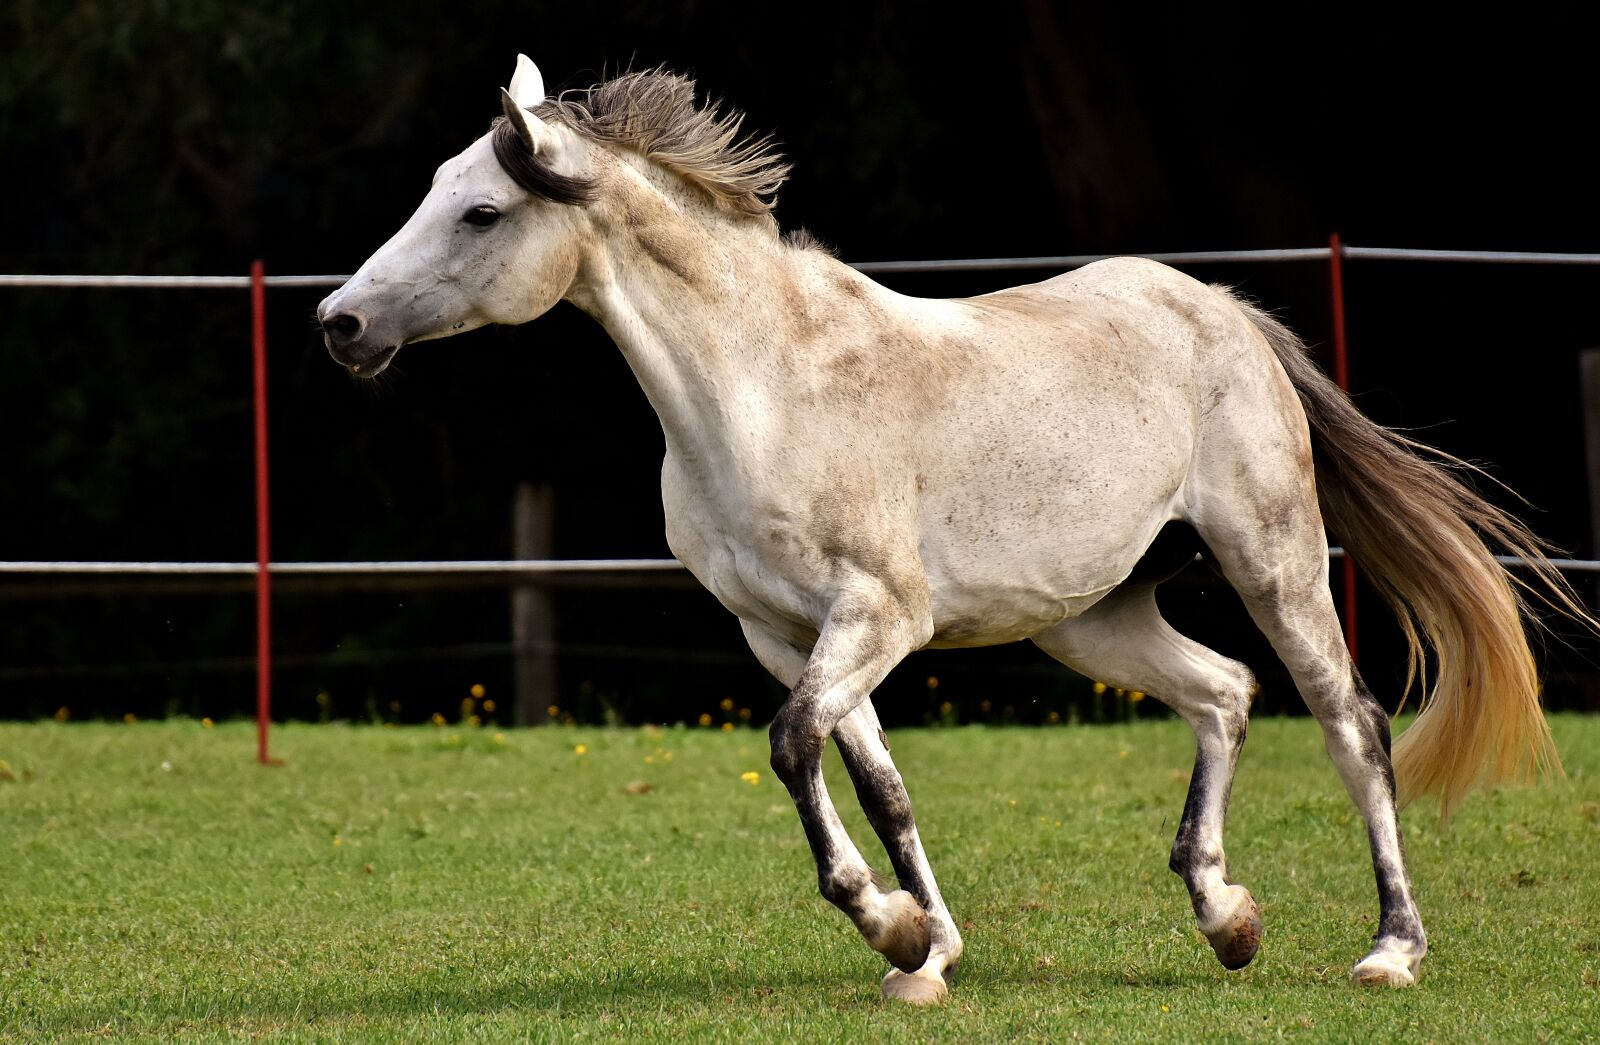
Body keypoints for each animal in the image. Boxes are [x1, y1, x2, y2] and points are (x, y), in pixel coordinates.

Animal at [317, 56, 1586, 1004]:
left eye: (481, 210)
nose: (341, 323)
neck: (765, 385)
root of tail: (1222, 309)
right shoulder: (786, 633)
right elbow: (877, 785)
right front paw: (926, 953)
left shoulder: (876, 613)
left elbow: (791, 746)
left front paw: (887, 927)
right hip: (1093, 616)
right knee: (1224, 692)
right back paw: (1225, 915)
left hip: (1269, 560)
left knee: (1349, 721)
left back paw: (1389, 949)